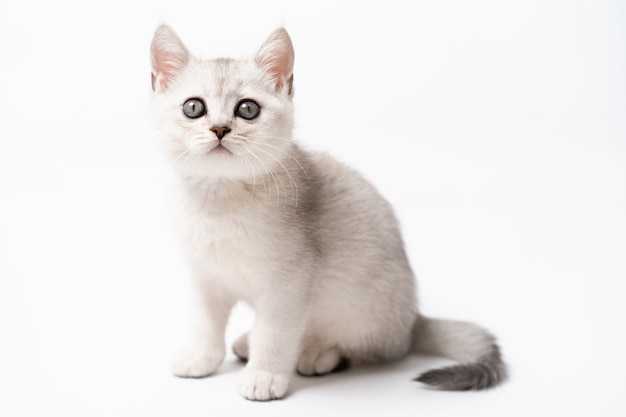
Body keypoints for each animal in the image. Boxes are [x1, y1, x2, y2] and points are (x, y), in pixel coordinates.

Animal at [151, 25, 508, 400]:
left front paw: (264, 375)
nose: (220, 128)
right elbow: (206, 325)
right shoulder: (206, 278)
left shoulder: (288, 284)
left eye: (247, 109)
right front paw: (202, 358)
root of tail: (413, 319)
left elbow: (274, 334)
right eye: (193, 107)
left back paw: (319, 353)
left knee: (374, 348)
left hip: (359, 310)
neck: (218, 204)